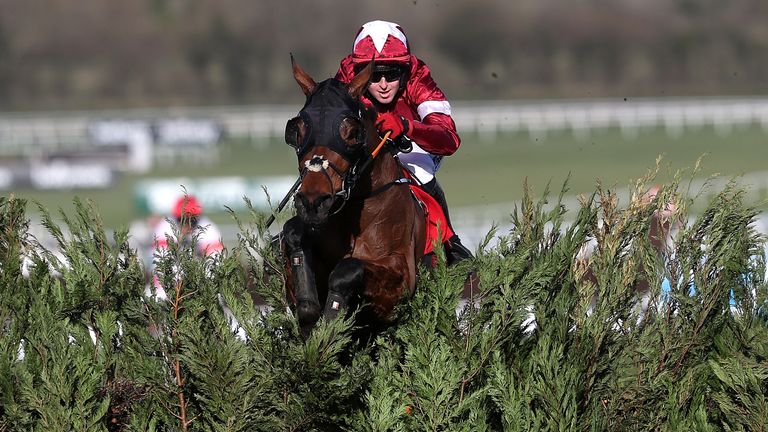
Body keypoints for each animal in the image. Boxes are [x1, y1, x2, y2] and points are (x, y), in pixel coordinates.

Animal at [280, 57, 428, 336]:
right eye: (298, 131)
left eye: (351, 132)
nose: (313, 203)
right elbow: (293, 231)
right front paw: (308, 308)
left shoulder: (402, 275)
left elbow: (347, 269)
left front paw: (330, 324)